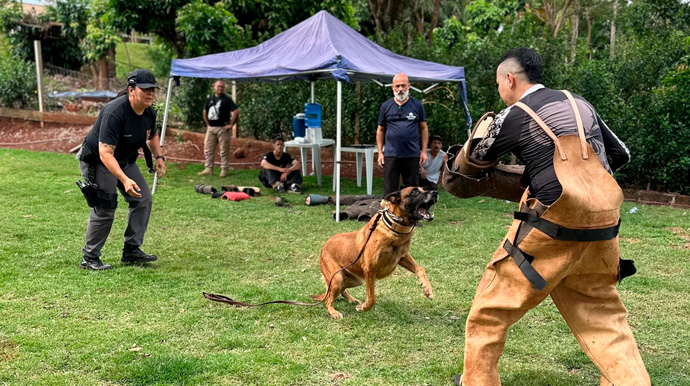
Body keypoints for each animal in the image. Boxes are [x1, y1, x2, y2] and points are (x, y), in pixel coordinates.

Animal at [312, 185, 436, 318]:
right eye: (414, 192)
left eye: (424, 189)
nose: (435, 192)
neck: (393, 229)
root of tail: (324, 246)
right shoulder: (370, 271)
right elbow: (371, 299)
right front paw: (363, 308)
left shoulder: (403, 257)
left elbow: (420, 269)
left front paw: (428, 290)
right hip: (337, 278)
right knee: (328, 299)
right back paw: (333, 311)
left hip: (355, 280)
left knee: (339, 291)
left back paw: (351, 299)